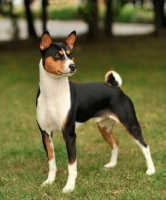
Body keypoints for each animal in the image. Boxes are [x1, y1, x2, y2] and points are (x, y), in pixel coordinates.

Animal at [35, 30, 155, 192]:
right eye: (58, 55)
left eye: (71, 54)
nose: (73, 66)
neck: (52, 94)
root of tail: (116, 88)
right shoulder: (46, 134)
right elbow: (51, 162)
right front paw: (49, 182)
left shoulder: (69, 134)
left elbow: (71, 164)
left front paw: (69, 187)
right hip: (104, 126)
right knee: (115, 143)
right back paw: (112, 165)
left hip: (130, 124)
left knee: (145, 146)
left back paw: (151, 170)